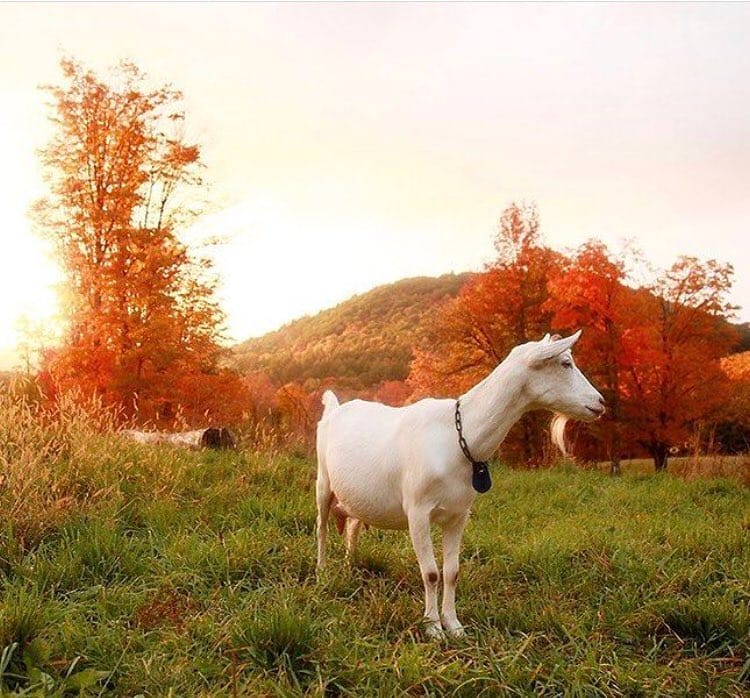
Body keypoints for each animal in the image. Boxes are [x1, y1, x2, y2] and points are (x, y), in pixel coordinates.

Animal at [315, 331, 605, 637]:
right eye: (565, 363)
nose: (600, 402)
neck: (457, 437)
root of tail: (334, 409)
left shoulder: (458, 514)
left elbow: (452, 572)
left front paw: (454, 626)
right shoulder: (417, 511)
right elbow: (431, 573)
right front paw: (432, 627)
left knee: (353, 526)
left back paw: (350, 565)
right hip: (323, 480)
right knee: (322, 527)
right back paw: (322, 572)